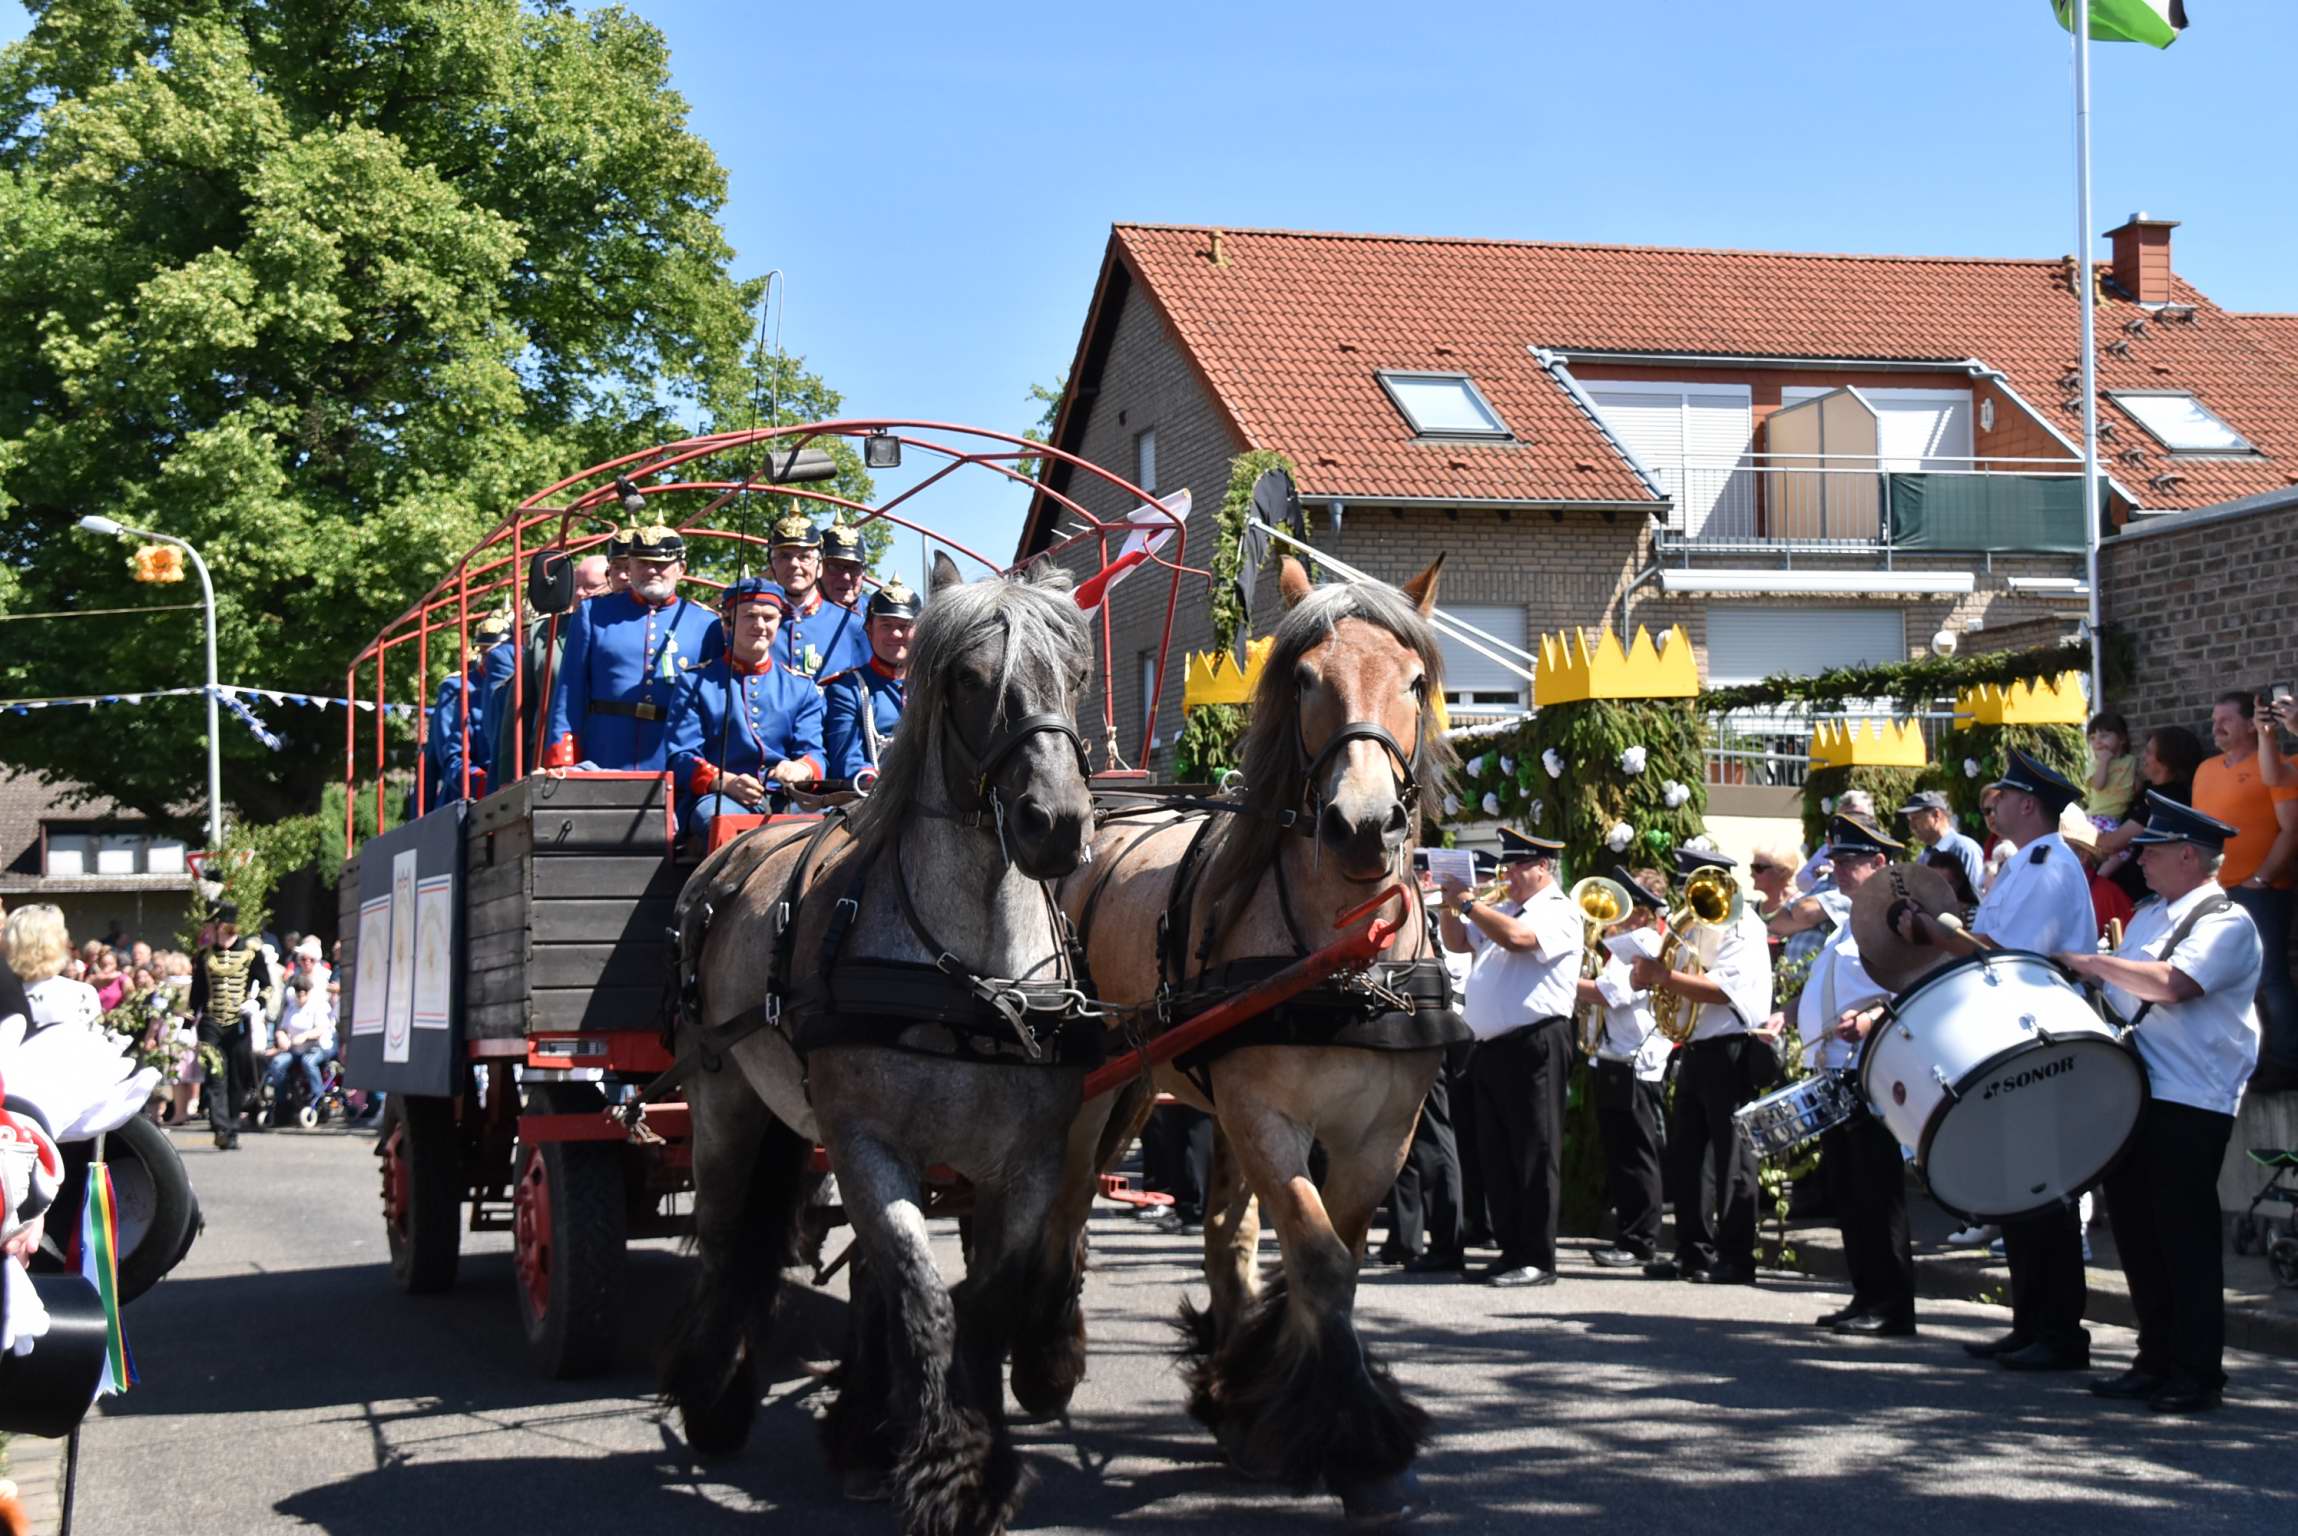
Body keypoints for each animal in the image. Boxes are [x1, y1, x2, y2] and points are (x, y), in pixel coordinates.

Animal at [661, 551, 1099, 1536]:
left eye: (1077, 676)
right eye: (970, 679)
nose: (1056, 824)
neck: (973, 974)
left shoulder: (1028, 1163)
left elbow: (980, 1303)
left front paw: (972, 1466)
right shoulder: (868, 1144)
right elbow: (928, 1301)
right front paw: (946, 1470)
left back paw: (860, 1427)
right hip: (724, 1103)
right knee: (724, 1241)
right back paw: (713, 1396)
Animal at [1049, 554, 1459, 1524]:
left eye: (1415, 681)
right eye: (1305, 678)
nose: (1362, 824)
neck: (1347, 959)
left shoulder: (1379, 1134)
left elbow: (1337, 1254)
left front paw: (1266, 1397)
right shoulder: (1267, 1116)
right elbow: (1317, 1260)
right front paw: (1357, 1445)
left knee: (1222, 1232)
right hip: (1100, 1093)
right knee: (1067, 1205)